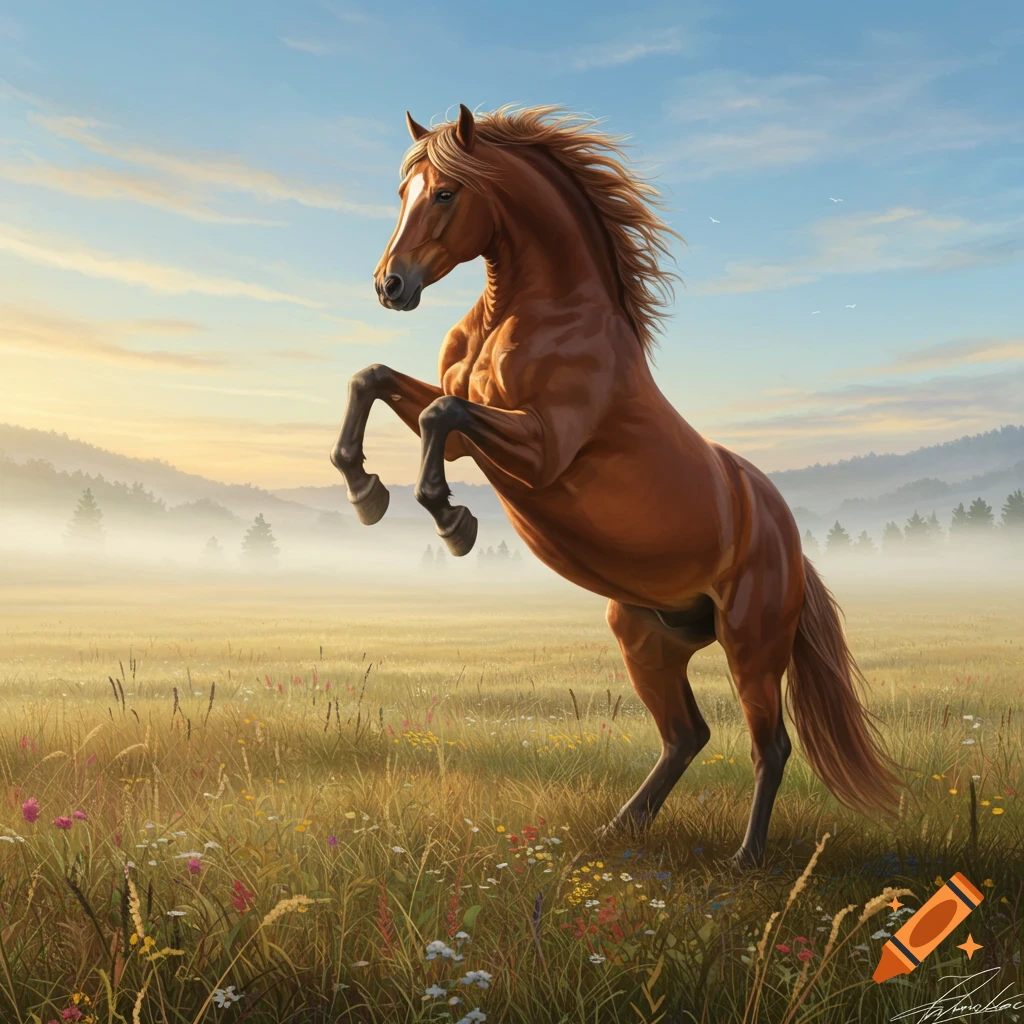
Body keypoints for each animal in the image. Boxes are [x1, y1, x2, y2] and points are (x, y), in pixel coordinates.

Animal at [330, 103, 904, 867]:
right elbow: (375, 379)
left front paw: (454, 522)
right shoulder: (468, 429)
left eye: (446, 193)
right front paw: (365, 491)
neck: (533, 314)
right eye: (403, 192)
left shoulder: (542, 449)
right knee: (688, 735)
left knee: (770, 745)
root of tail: (788, 538)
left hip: (752, 648)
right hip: (645, 636)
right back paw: (618, 830)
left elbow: (438, 412)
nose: (389, 286)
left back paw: (746, 858)